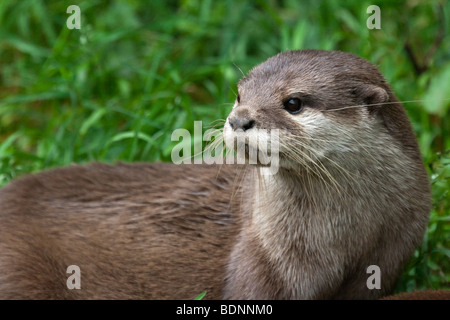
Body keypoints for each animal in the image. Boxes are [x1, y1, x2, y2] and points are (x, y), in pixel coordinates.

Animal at [0, 48, 430, 298]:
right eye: (239, 94)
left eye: (293, 102)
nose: (239, 119)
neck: (340, 239)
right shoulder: (262, 260)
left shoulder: (387, 255)